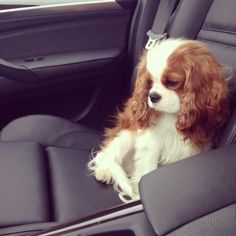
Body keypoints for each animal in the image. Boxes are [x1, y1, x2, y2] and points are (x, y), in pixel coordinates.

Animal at [87, 38, 230, 203]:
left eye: (172, 82)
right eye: (149, 82)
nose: (153, 96)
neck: (175, 115)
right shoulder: (150, 144)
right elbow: (146, 169)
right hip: (126, 134)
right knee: (106, 155)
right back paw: (104, 171)